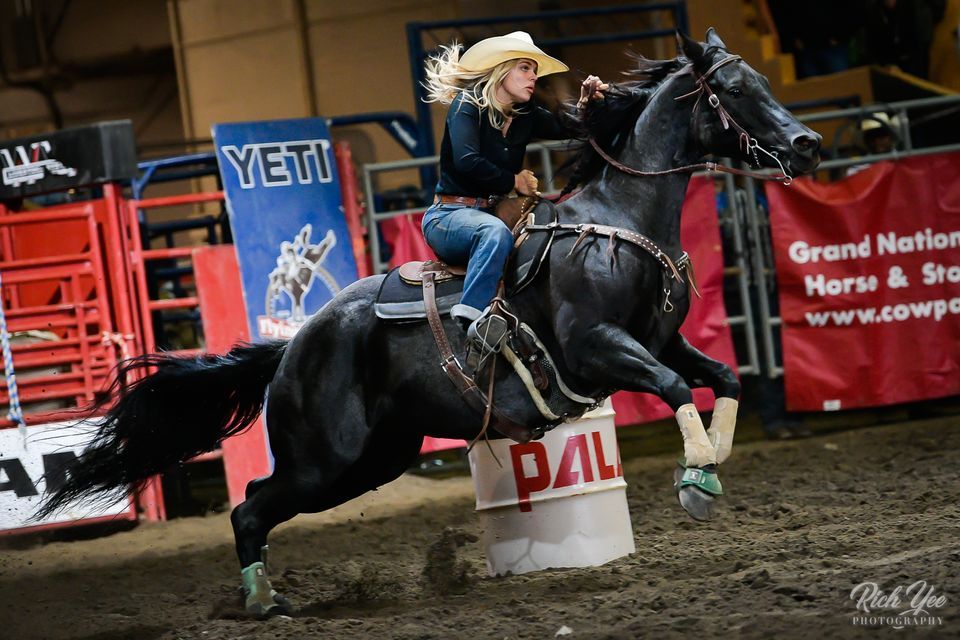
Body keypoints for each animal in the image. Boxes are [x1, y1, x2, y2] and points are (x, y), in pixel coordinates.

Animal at [37, 30, 816, 616]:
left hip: (376, 457)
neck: (619, 220)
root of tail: (292, 350)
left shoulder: (661, 339)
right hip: (327, 458)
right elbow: (676, 388)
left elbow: (722, 376)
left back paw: (265, 597)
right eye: (736, 91)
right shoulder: (598, 348)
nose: (807, 144)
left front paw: (714, 458)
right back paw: (261, 602)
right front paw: (696, 481)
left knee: (258, 503)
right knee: (250, 508)